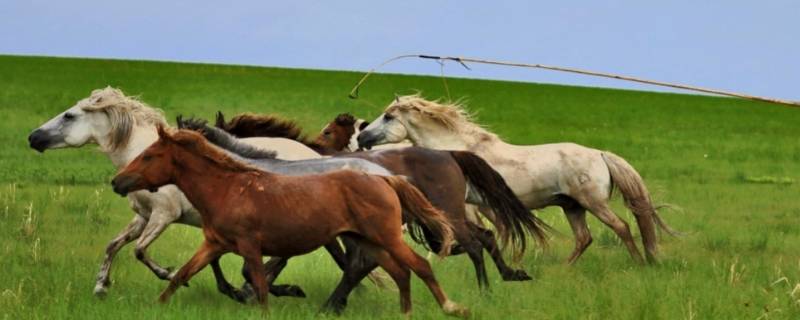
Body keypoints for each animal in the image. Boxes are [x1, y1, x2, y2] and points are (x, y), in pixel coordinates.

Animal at [108, 127, 468, 318]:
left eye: (149, 156)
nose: (117, 182)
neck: (228, 188)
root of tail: (386, 178)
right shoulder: (214, 245)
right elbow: (183, 274)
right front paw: (158, 305)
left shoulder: (251, 247)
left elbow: (260, 286)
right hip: (369, 241)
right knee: (397, 271)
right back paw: (403, 311)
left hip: (387, 237)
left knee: (419, 265)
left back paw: (451, 307)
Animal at [360, 95, 680, 264]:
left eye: (388, 117)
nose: (362, 138)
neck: (461, 151)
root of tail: (600, 154)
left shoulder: (475, 205)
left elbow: (487, 231)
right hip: (571, 206)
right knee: (584, 238)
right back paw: (564, 270)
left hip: (593, 203)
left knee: (621, 227)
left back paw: (639, 262)